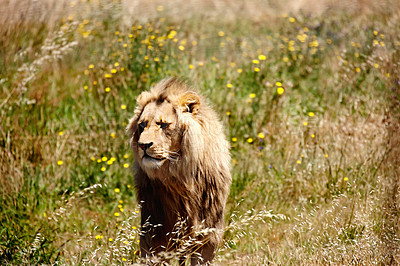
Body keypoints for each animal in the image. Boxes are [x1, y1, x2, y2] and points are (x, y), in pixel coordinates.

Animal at [125, 77, 231, 264]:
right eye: (142, 125)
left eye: (163, 125)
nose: (143, 145)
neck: (180, 178)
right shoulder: (155, 235)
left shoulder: (208, 235)